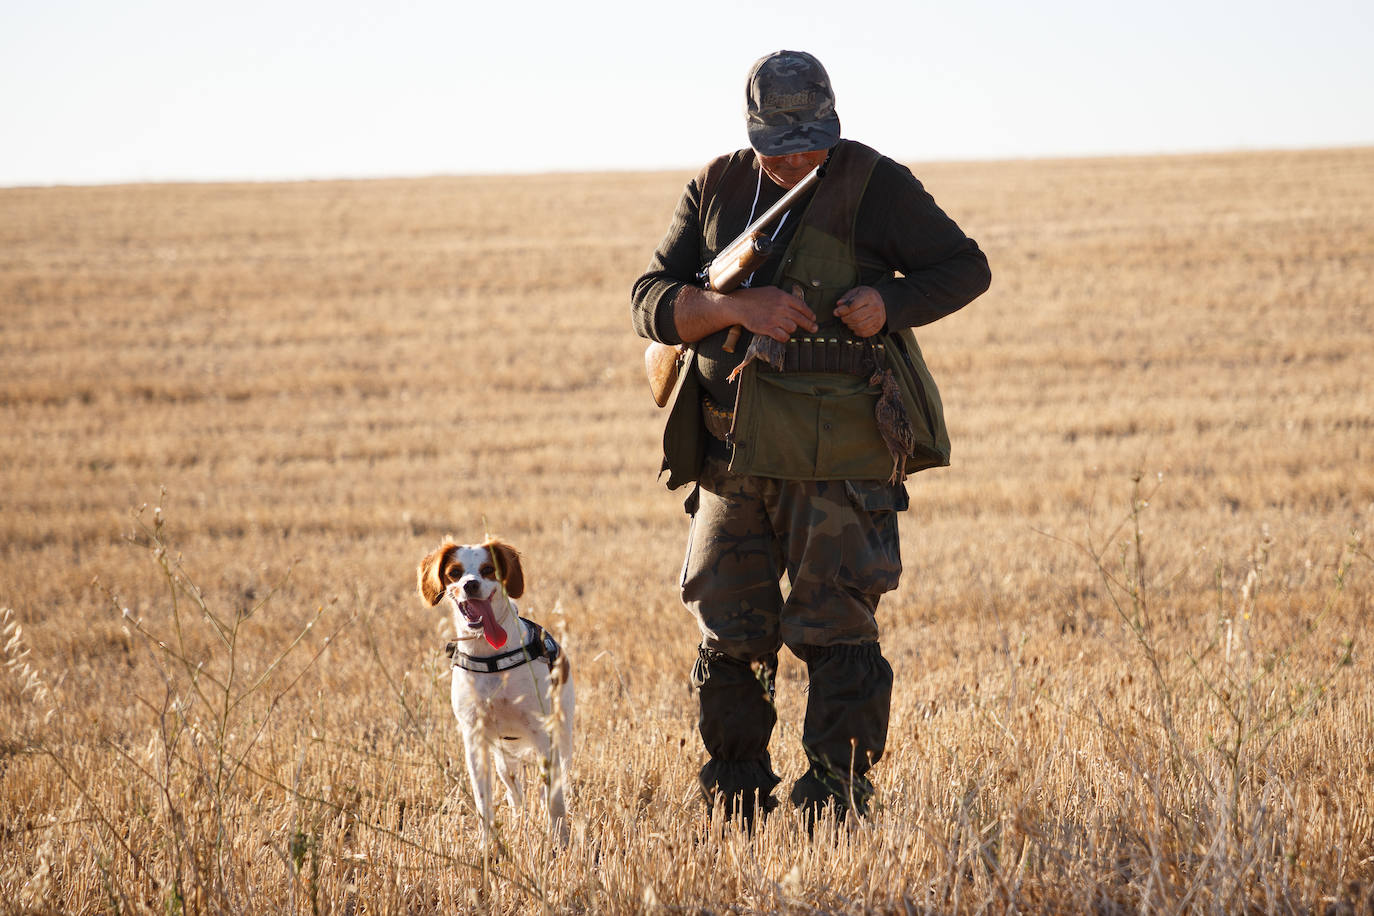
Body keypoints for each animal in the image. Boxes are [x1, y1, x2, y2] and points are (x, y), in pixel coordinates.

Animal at [414, 538, 571, 845]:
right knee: (514, 792)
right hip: (504, 758)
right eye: (454, 572)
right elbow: (483, 800)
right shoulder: (474, 739)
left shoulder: (542, 733)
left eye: (488, 569)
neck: (491, 656)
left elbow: (555, 800)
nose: (470, 585)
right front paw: (488, 846)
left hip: (562, 735)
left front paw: (561, 843)